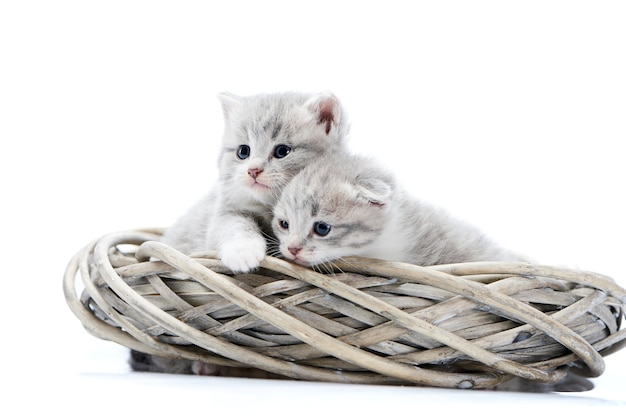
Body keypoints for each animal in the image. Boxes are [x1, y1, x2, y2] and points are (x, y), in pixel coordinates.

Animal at [129, 90, 348, 376]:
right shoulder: (225, 213)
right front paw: (244, 253)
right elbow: (236, 226)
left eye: (282, 151)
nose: (253, 170)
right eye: (244, 151)